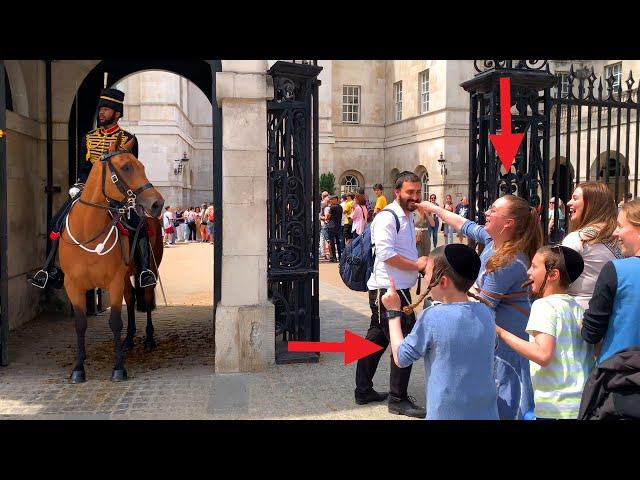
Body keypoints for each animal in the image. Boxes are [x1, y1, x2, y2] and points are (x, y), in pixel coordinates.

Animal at [59, 135, 164, 382]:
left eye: (141, 166)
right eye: (126, 167)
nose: (157, 203)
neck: (88, 233)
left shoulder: (113, 282)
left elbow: (115, 322)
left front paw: (118, 368)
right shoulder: (73, 285)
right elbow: (80, 324)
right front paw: (78, 368)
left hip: (150, 270)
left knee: (146, 297)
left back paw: (148, 339)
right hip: (126, 276)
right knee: (131, 298)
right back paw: (128, 340)